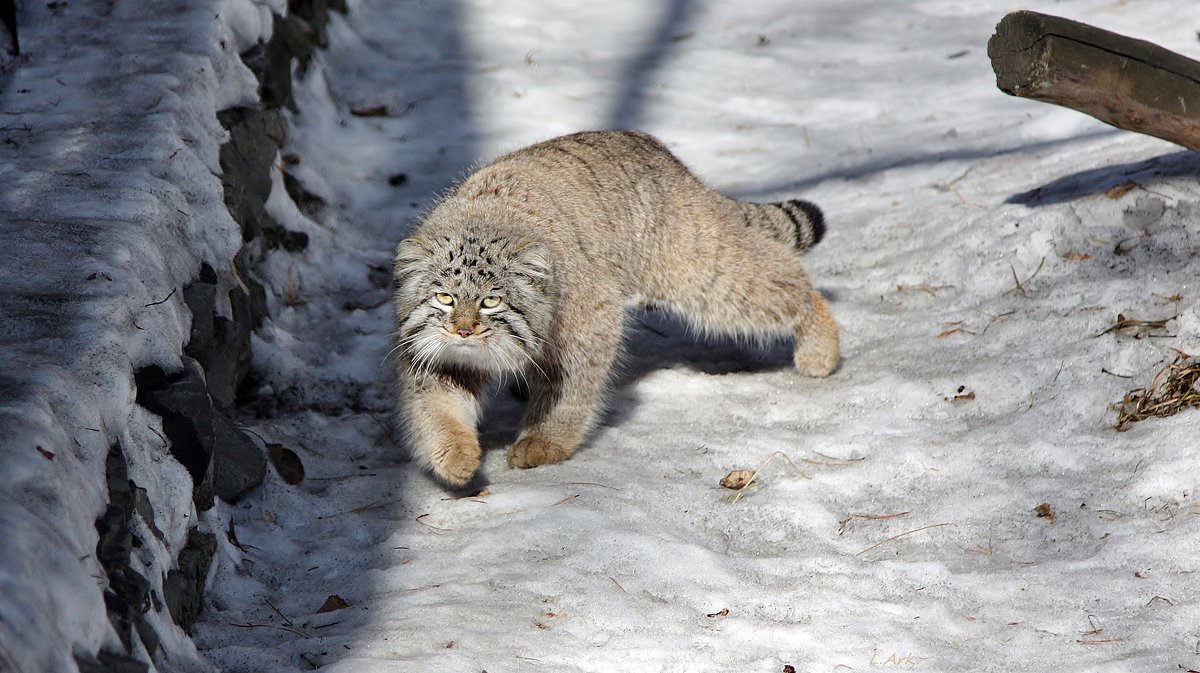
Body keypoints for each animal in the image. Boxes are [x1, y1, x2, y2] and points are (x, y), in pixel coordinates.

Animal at [393, 130, 835, 482]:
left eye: (491, 301)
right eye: (445, 297)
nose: (463, 330)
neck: (484, 218)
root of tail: (661, 152)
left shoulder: (592, 322)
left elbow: (569, 389)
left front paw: (545, 440)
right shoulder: (434, 354)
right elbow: (438, 409)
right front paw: (455, 457)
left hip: (700, 272)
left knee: (785, 280)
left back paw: (821, 348)